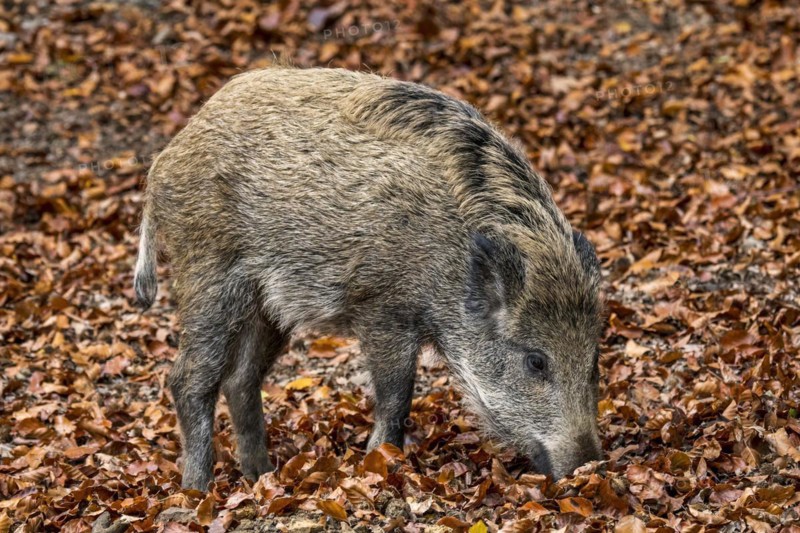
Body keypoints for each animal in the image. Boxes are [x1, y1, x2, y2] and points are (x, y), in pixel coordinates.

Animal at [134, 66, 604, 490]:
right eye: (536, 360)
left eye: (595, 359)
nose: (589, 467)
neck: (453, 266)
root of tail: (163, 163)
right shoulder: (382, 308)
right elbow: (396, 394)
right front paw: (380, 462)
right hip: (208, 275)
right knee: (188, 379)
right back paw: (197, 491)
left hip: (269, 307)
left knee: (241, 379)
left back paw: (261, 476)